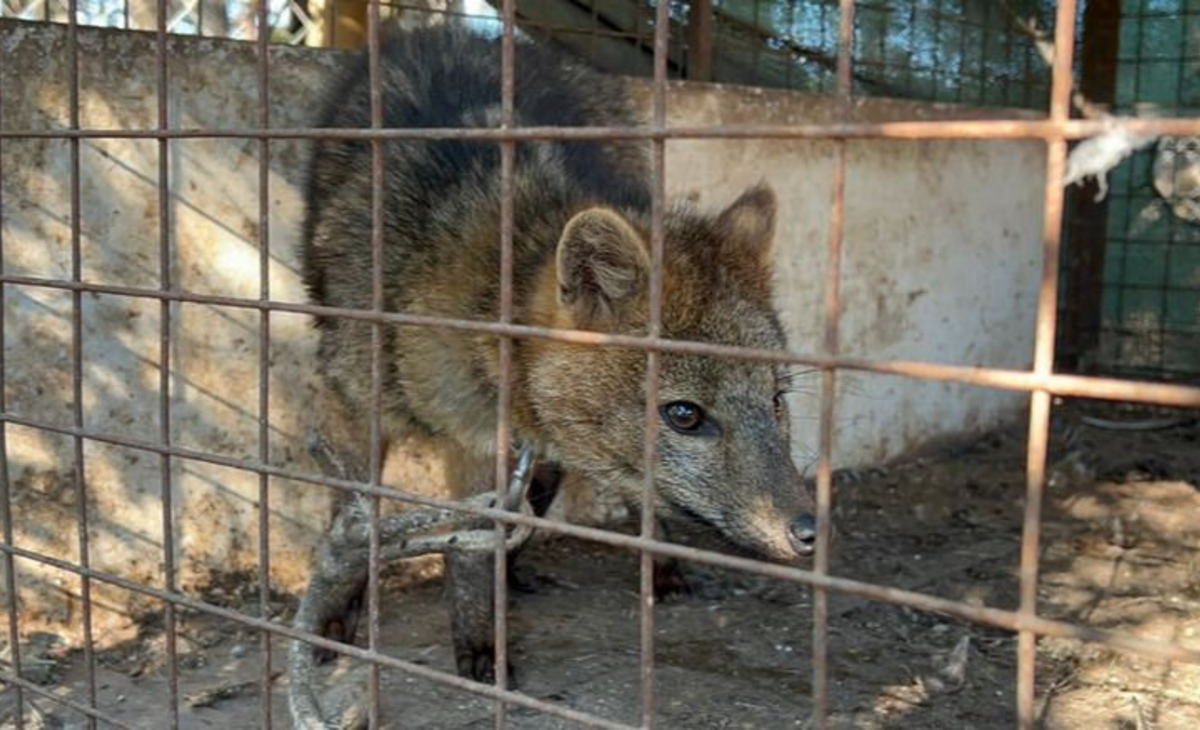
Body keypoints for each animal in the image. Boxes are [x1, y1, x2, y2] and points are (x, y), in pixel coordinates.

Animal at [300, 24, 817, 683]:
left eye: (776, 401)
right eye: (684, 415)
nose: (810, 531)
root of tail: (464, 32)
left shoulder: (489, 447)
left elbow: (477, 551)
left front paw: (483, 636)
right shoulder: (363, 410)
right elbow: (355, 521)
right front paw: (339, 615)